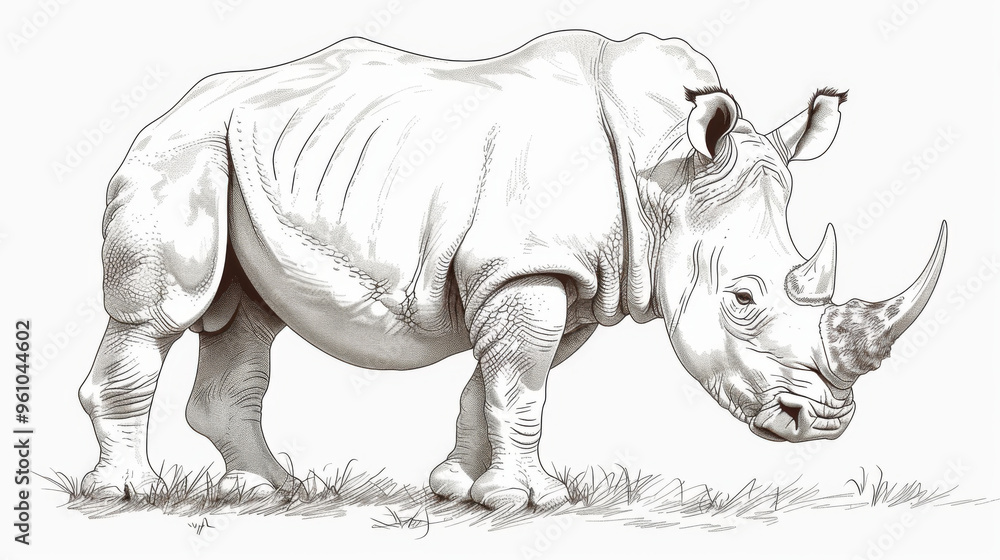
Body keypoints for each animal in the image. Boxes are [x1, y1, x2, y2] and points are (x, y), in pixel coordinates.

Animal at [80, 31, 946, 510]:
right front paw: (532, 501)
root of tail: (170, 108)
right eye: (742, 298)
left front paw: (461, 492)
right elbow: (522, 387)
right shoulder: (526, 267)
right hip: (180, 152)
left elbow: (496, 386)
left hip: (245, 156)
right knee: (162, 315)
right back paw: (131, 494)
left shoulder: (570, 277)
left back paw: (270, 492)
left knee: (249, 317)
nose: (824, 425)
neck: (668, 173)